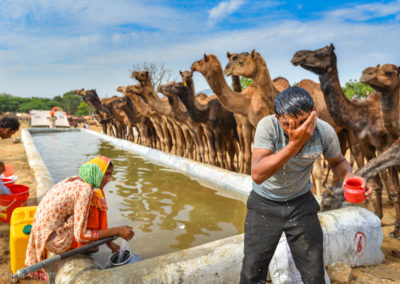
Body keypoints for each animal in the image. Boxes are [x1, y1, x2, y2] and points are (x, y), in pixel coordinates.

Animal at [290, 43, 400, 225]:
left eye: (321, 53)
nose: (297, 55)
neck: (363, 114)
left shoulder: (384, 142)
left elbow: (392, 185)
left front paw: (396, 226)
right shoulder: (366, 144)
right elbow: (377, 182)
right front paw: (378, 215)